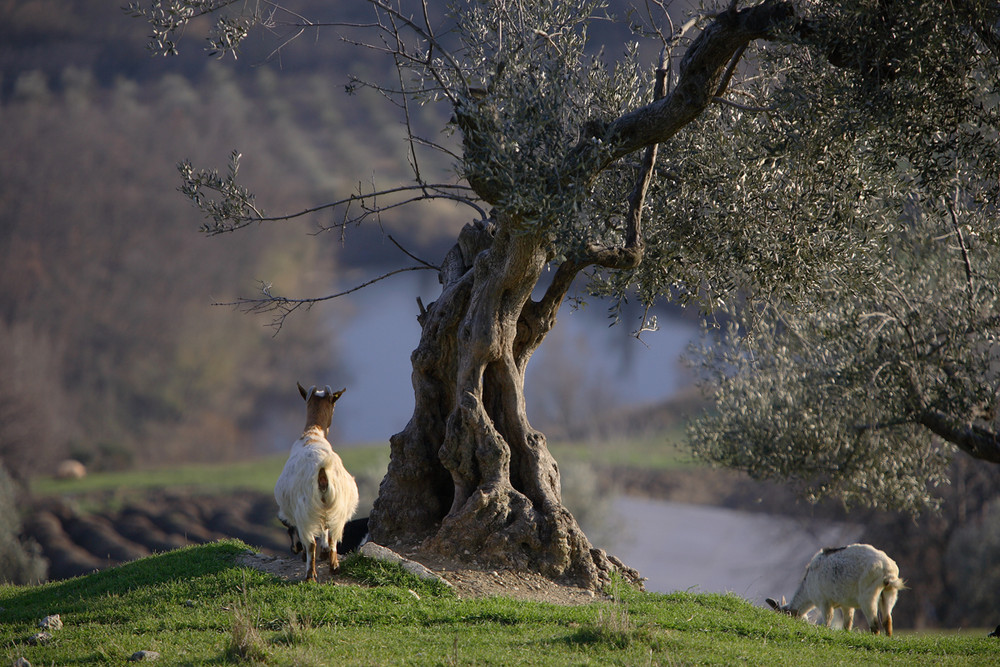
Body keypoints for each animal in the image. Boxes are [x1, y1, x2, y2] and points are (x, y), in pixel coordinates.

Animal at [274, 384, 360, 580]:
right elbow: (326, 532)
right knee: (333, 536)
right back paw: (334, 566)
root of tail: (322, 470)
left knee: (311, 542)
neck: (312, 434)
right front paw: (325, 553)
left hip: (305, 510)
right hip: (337, 505)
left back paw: (310, 575)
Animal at [764, 544, 908, 636]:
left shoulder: (824, 602)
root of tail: (887, 570)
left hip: (868, 596)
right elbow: (847, 624)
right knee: (887, 620)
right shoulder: (846, 604)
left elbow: (828, 621)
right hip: (890, 593)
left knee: (875, 625)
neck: (808, 586)